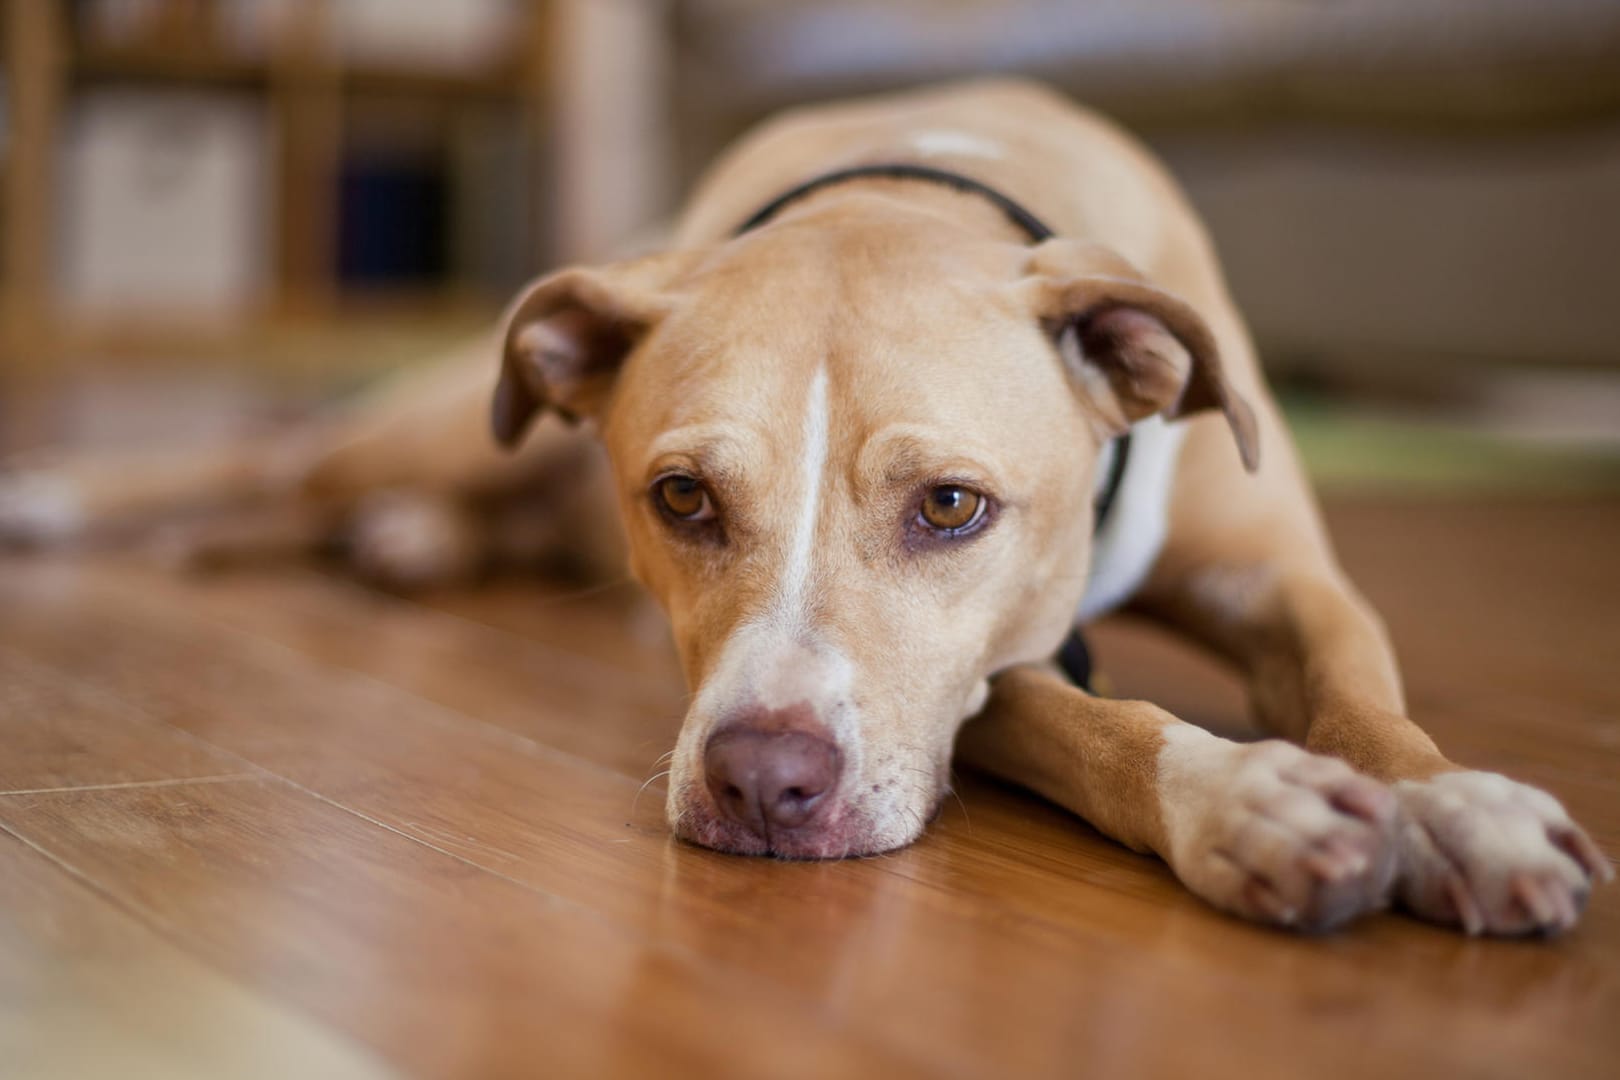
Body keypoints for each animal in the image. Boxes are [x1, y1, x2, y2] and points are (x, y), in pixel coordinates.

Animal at [6, 80, 1613, 932]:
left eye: (953, 506)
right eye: (682, 497)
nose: (764, 789)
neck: (916, 185)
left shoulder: (1289, 586)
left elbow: (1368, 702)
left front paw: (1463, 813)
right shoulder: (986, 682)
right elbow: (1107, 729)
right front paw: (1250, 798)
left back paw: (401, 545)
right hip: (449, 420)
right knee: (277, 460)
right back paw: (64, 497)